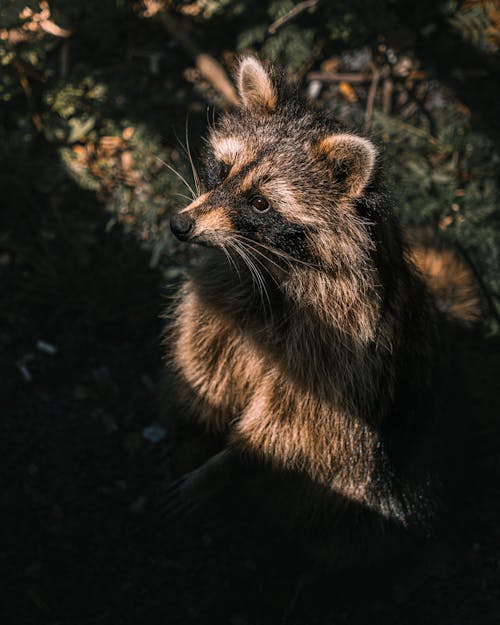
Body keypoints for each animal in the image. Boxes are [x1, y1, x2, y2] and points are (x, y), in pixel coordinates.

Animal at [162, 57, 478, 564]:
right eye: (222, 169)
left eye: (260, 202)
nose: (180, 225)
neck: (272, 266)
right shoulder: (228, 293)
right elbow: (207, 353)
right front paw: (196, 417)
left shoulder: (343, 352)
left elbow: (300, 428)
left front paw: (225, 469)